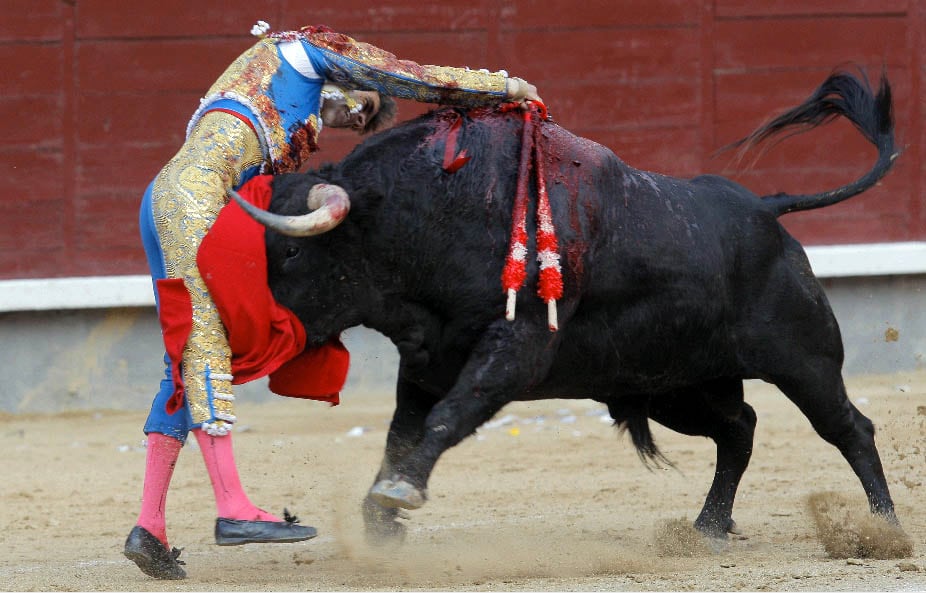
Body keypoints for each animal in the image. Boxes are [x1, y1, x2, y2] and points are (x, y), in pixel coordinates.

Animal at [234, 68, 908, 540]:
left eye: (290, 253)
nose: (252, 340)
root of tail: (766, 209)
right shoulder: (427, 361)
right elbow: (402, 433)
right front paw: (381, 521)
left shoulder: (515, 348)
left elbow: (449, 416)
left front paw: (396, 499)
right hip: (675, 384)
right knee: (739, 429)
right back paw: (708, 528)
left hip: (804, 361)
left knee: (849, 428)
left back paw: (886, 529)